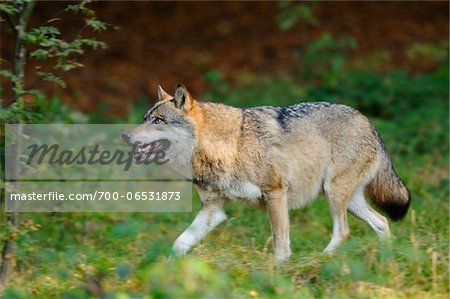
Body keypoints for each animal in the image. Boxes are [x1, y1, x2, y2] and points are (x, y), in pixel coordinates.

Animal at [121, 84, 410, 262]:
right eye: (145, 118)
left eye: (158, 121)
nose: (125, 135)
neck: (228, 146)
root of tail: (368, 121)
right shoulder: (214, 210)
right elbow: (179, 244)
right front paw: (167, 273)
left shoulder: (275, 194)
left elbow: (280, 246)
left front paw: (279, 275)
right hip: (348, 200)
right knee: (382, 223)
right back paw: (388, 260)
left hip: (334, 195)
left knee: (344, 231)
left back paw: (318, 261)